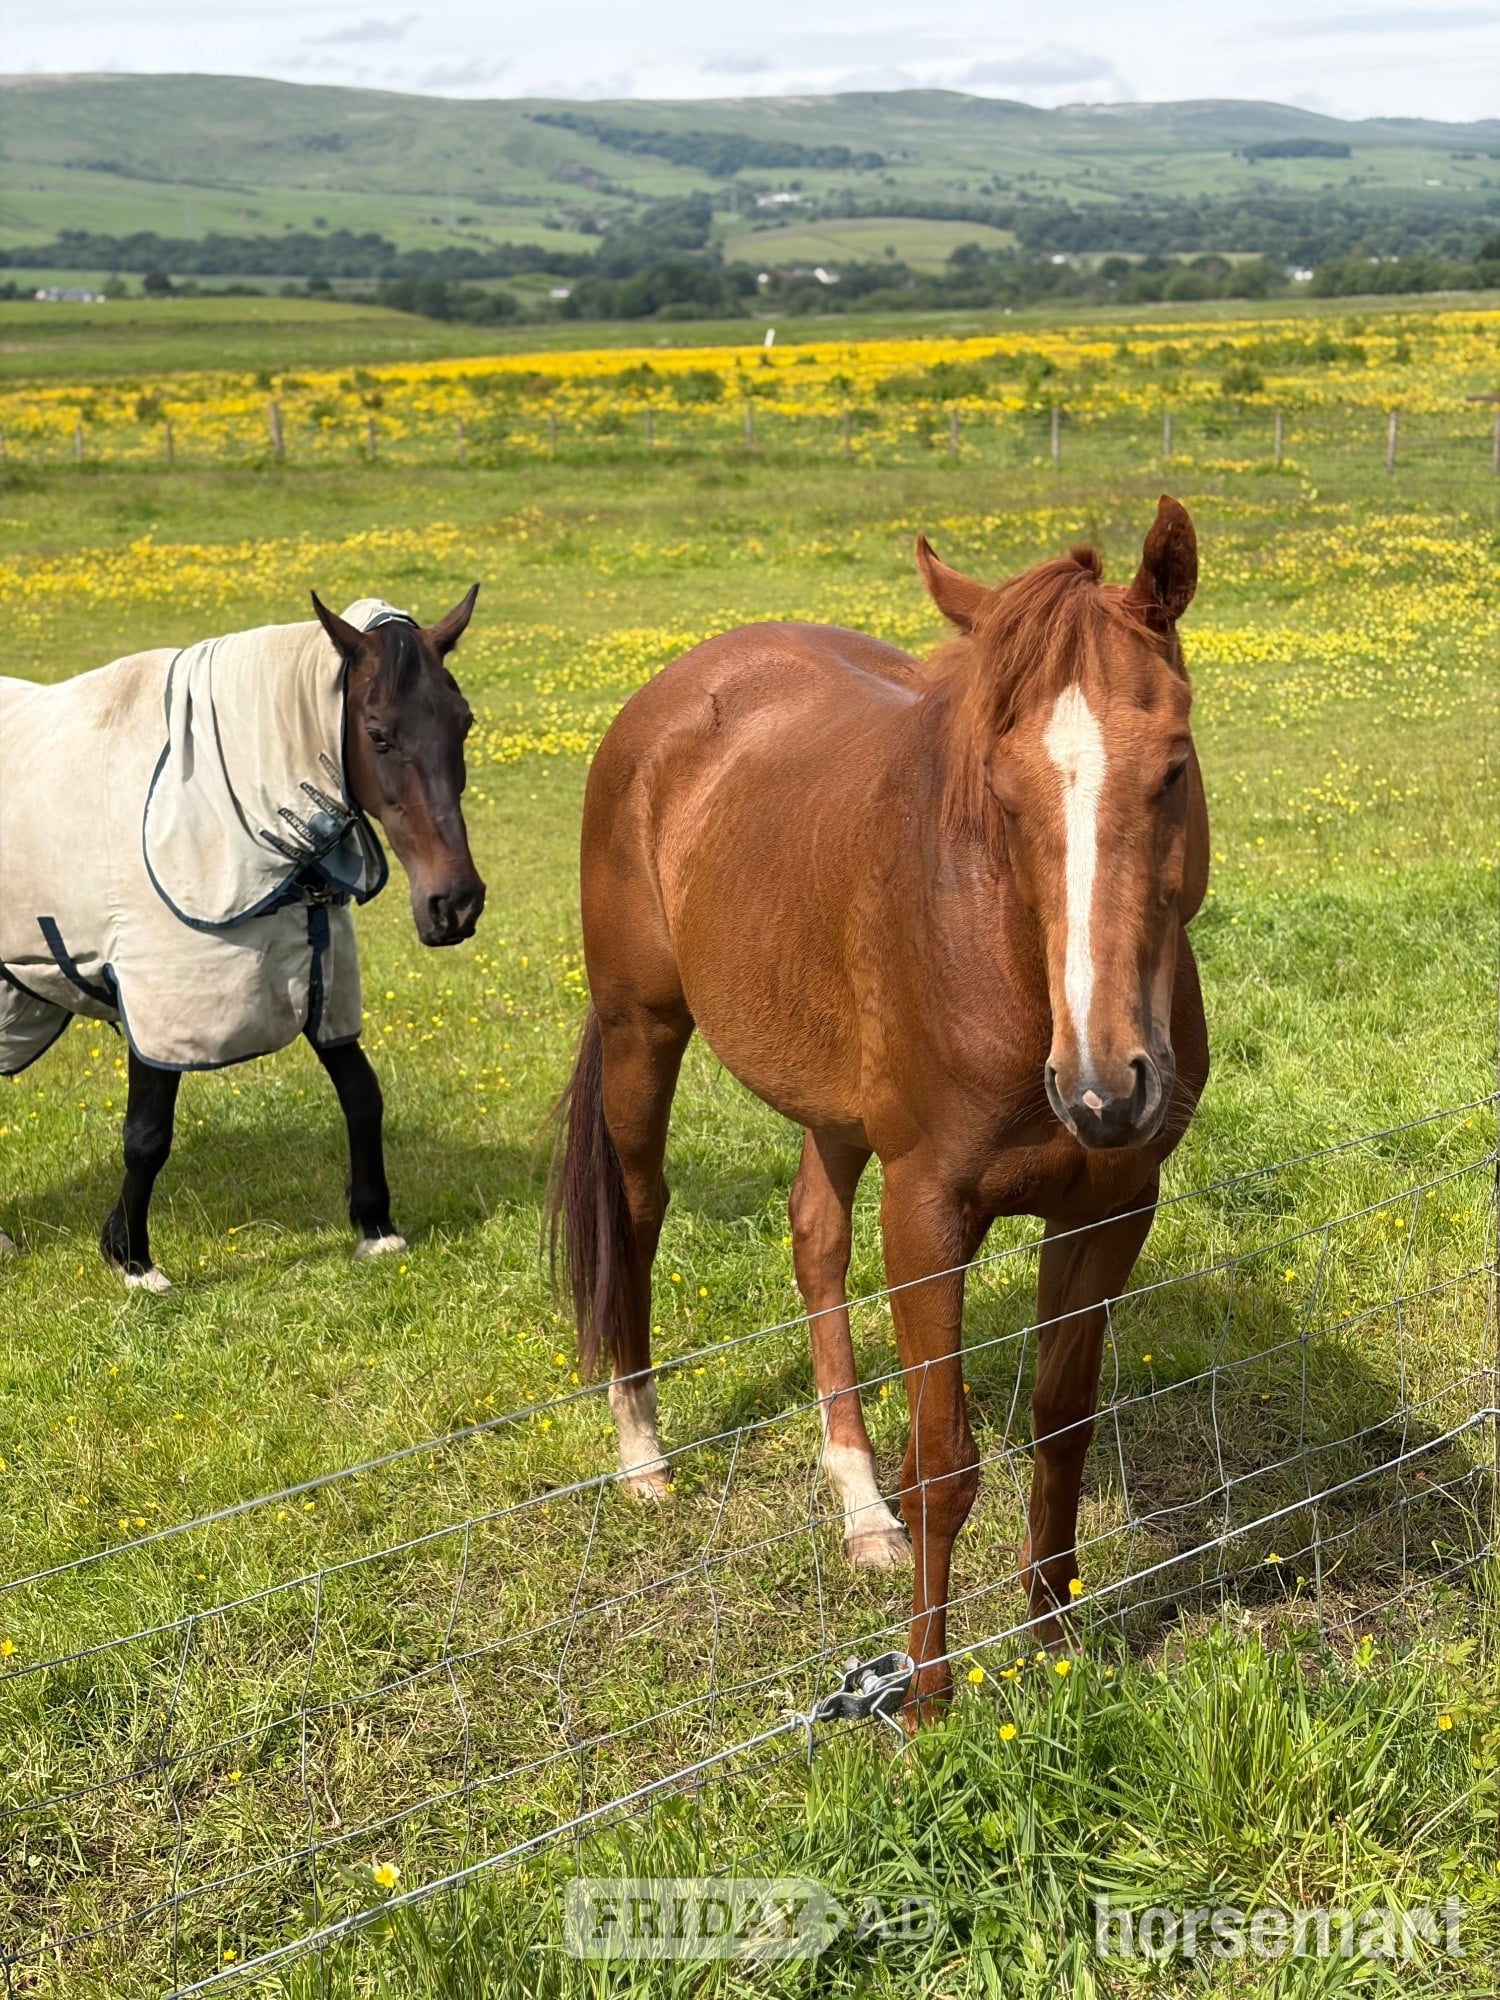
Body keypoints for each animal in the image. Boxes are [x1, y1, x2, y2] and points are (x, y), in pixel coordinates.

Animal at [0, 592, 485, 1289]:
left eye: (463, 723)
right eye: (377, 734)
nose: (456, 904)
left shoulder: (319, 979)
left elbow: (363, 1096)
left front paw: (376, 1227)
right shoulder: (161, 996)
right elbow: (146, 1136)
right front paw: (133, 1260)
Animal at [549, 496, 1210, 1715]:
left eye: (1173, 769)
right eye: (1001, 787)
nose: (1105, 1089)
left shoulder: (1108, 1211)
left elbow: (1061, 1431)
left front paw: (1054, 1643)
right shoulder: (929, 1216)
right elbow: (946, 1461)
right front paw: (931, 1702)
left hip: (832, 1105)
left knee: (814, 1238)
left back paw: (859, 1508)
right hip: (640, 1034)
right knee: (639, 1208)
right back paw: (643, 1456)